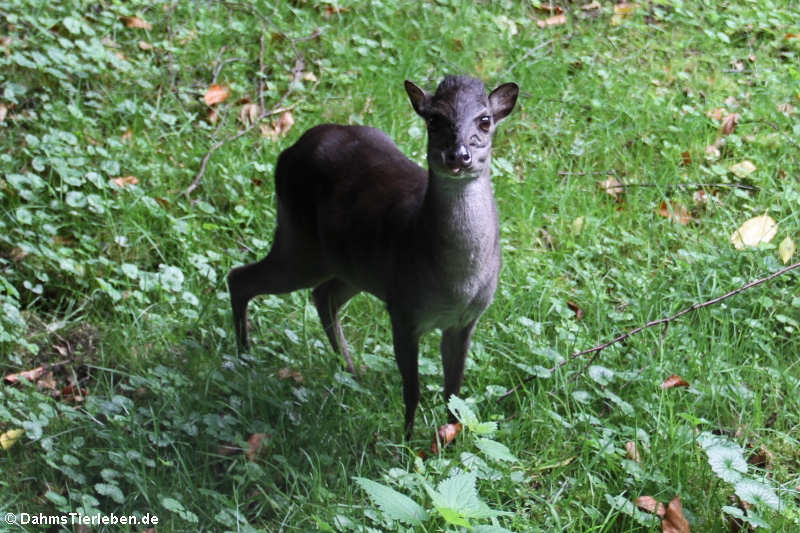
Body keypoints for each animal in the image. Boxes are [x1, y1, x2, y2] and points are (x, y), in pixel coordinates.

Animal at [230, 76, 520, 436]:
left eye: (484, 120)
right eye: (434, 119)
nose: (458, 155)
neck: (455, 285)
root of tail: (287, 151)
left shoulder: (467, 319)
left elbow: (454, 391)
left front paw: (451, 436)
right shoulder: (403, 311)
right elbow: (413, 391)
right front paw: (407, 442)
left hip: (350, 266)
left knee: (323, 296)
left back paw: (353, 373)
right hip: (299, 243)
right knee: (240, 277)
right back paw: (244, 358)